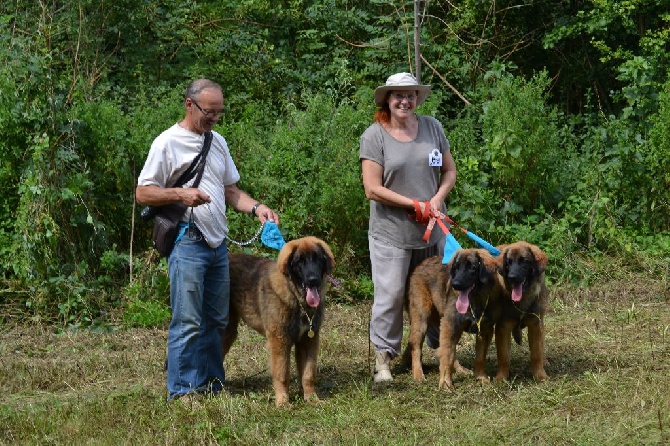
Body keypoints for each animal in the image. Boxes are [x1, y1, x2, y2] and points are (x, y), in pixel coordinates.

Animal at [223, 237, 336, 408]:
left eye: (317, 259)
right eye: (300, 261)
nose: (313, 280)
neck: (297, 299)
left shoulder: (308, 340)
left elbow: (308, 374)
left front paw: (311, 398)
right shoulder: (279, 341)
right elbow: (282, 373)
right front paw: (282, 401)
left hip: (228, 331)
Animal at [402, 249, 506, 388]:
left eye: (472, 268)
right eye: (456, 268)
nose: (455, 284)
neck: (475, 300)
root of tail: (420, 265)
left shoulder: (485, 330)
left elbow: (480, 357)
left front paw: (480, 377)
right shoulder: (450, 324)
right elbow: (447, 356)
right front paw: (445, 382)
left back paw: (460, 370)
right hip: (422, 319)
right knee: (417, 347)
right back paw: (418, 374)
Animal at [494, 242, 552, 382]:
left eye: (524, 261)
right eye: (508, 262)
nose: (512, 278)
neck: (523, 299)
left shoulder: (535, 325)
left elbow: (536, 353)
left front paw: (540, 375)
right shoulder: (503, 327)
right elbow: (503, 356)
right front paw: (501, 377)